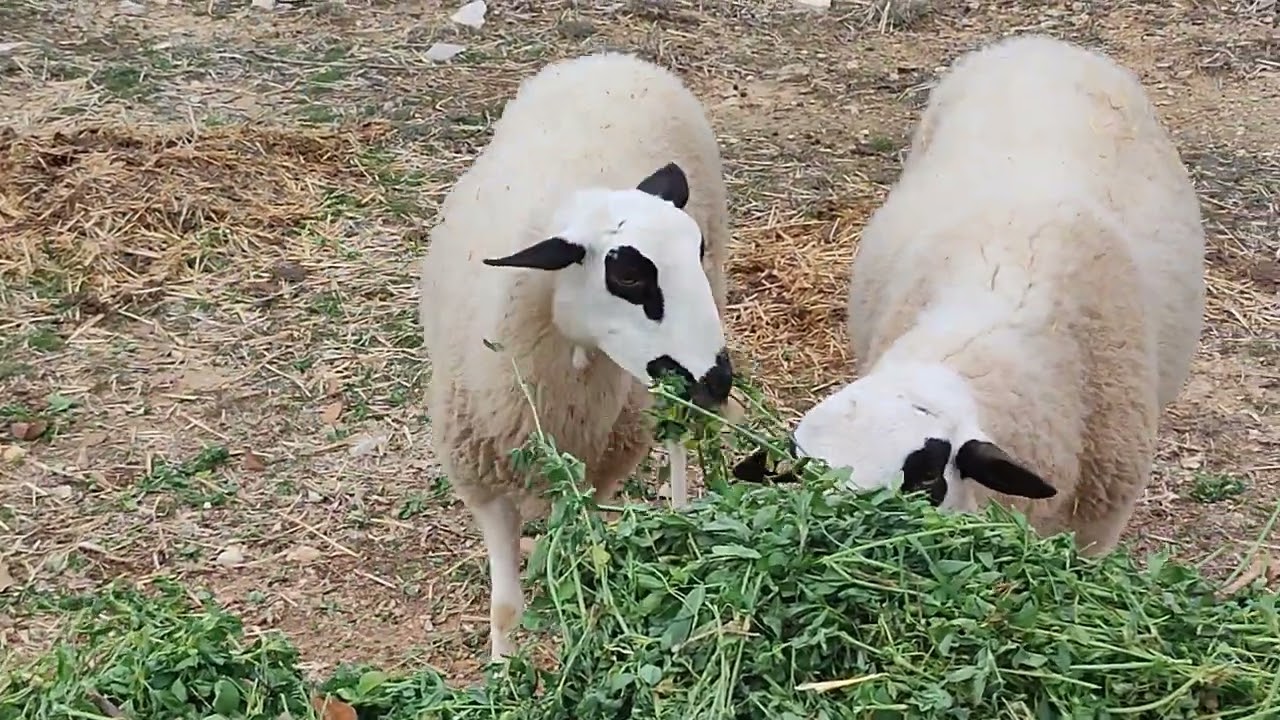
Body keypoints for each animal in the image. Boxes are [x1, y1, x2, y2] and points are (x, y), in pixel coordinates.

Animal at [418, 51, 735, 662]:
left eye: (697, 249)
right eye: (628, 276)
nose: (719, 381)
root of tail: (615, 58)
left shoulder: (595, 472)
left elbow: (586, 556)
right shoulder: (481, 480)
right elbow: (506, 606)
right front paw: (503, 671)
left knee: (679, 434)